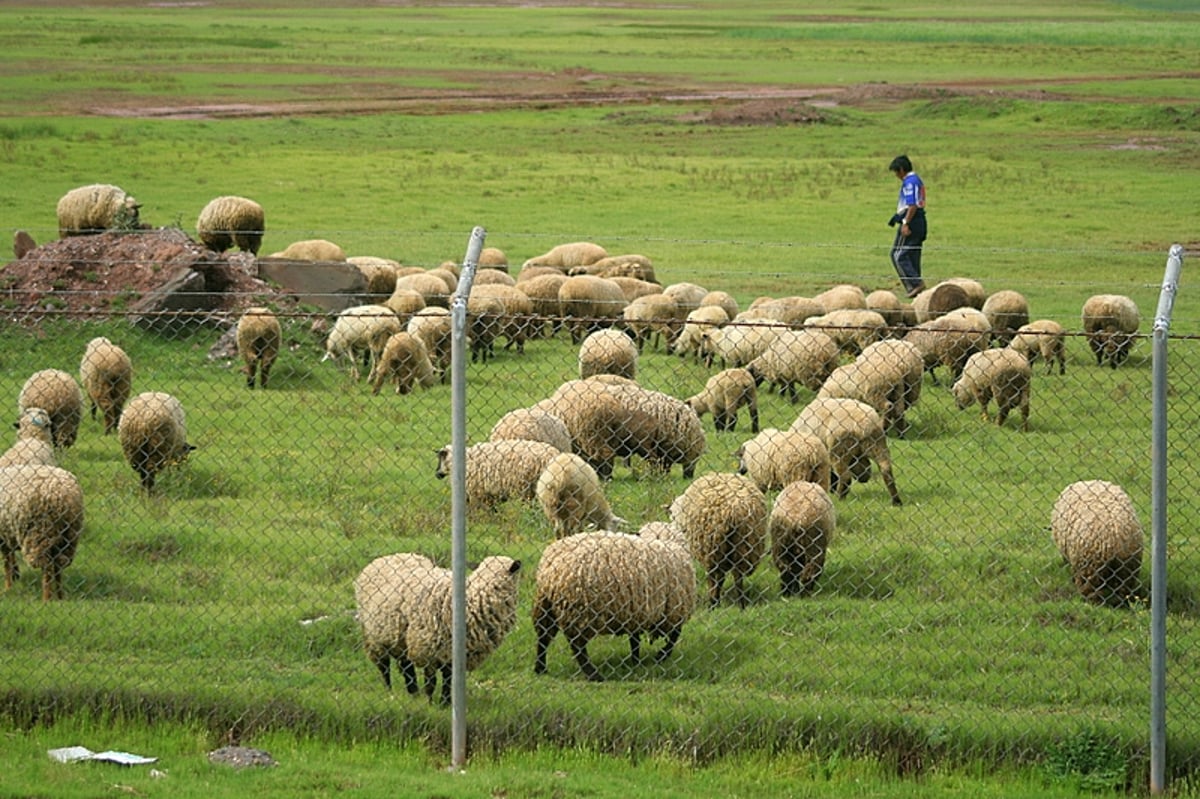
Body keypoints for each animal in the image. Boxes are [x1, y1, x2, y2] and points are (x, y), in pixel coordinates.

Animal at [0, 460, 84, 597]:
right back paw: (60, 596)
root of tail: (64, 495)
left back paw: (47, 598)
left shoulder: (3, 535)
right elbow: (9, 559)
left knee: (47, 568)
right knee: (58, 565)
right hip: (69, 535)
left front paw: (8, 588)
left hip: (40, 533)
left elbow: (6, 562)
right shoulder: (7, 533)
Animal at [355, 551, 525, 700]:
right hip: (374, 637)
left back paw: (413, 693)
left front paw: (445, 702)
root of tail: (387, 556)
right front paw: (430, 703)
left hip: (401, 639)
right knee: (384, 667)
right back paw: (390, 691)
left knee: (406, 666)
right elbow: (431, 682)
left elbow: (448, 680)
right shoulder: (427, 648)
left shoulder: (451, 654)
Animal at [532, 527, 696, 676]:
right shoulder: (674, 609)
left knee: (543, 635)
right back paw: (593, 674)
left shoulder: (636, 609)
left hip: (547, 605)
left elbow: (635, 639)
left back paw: (540, 668)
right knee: (577, 645)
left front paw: (635, 661)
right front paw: (661, 655)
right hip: (579, 609)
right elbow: (674, 636)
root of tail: (550, 571)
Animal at [667, 470, 768, 607]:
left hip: (712, 545)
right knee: (737, 576)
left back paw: (713, 602)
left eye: (672, 515)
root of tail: (734, 510)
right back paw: (741, 604)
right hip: (745, 544)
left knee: (714, 575)